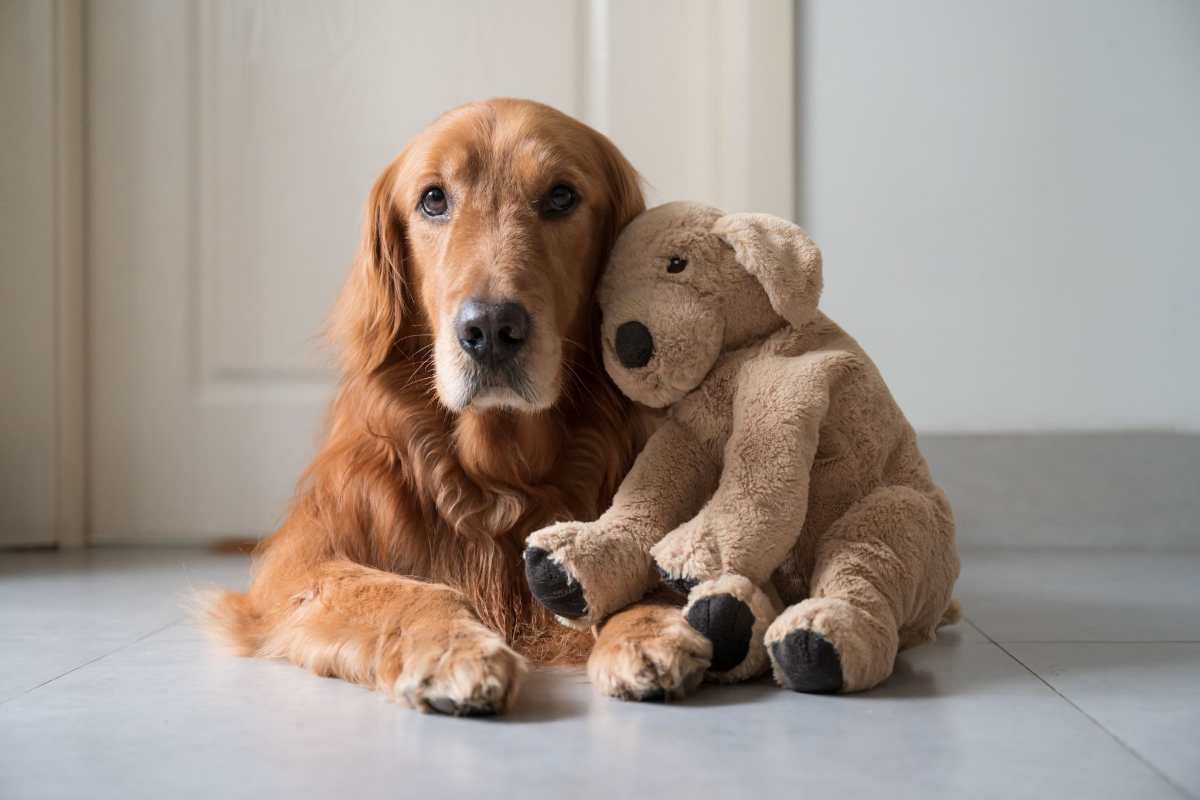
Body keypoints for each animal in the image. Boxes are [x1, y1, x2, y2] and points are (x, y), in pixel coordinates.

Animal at [208, 97, 710, 714]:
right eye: (433, 199)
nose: (490, 329)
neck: (497, 478)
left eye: (561, 196)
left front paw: (648, 627)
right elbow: (408, 591)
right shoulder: (300, 563)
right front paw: (456, 650)